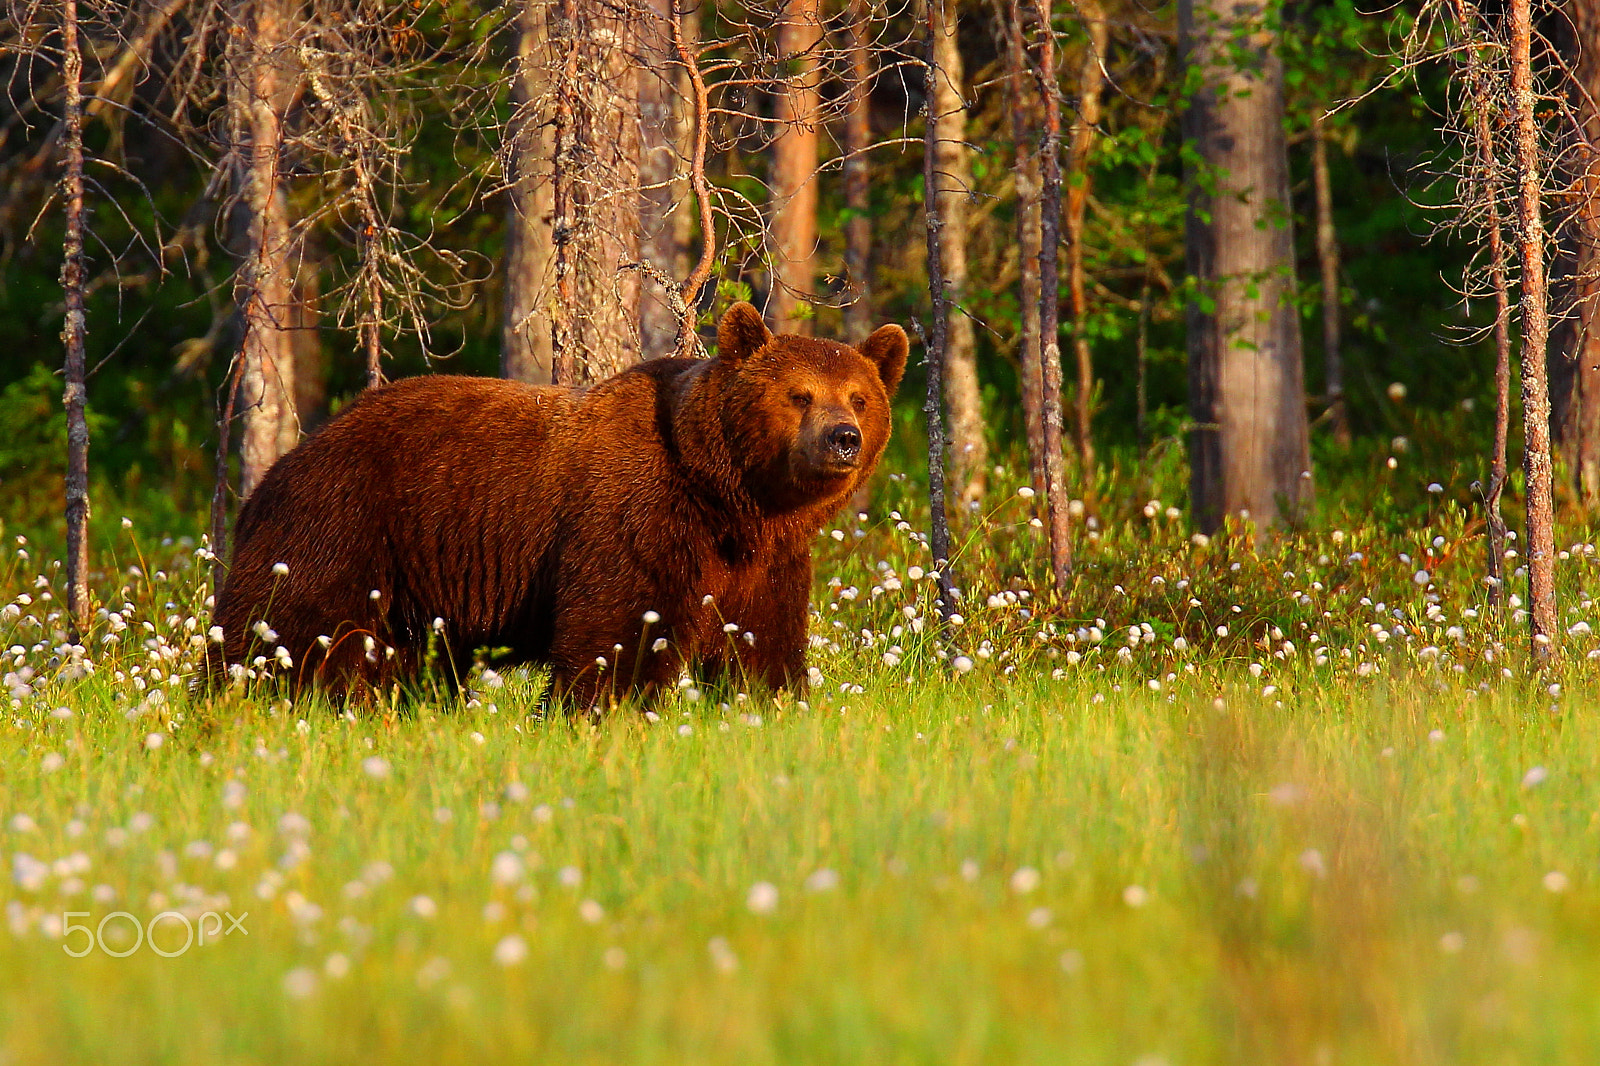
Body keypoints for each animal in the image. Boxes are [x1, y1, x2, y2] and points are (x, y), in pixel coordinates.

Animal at [210, 302, 908, 708]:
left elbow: (764, 647)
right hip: (343, 526)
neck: (729, 499)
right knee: (280, 629)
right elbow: (619, 632)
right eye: (800, 395)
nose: (842, 438)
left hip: (410, 588)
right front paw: (603, 711)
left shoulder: (765, 560)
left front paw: (772, 704)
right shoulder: (636, 521)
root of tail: (284, 464)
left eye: (859, 396)